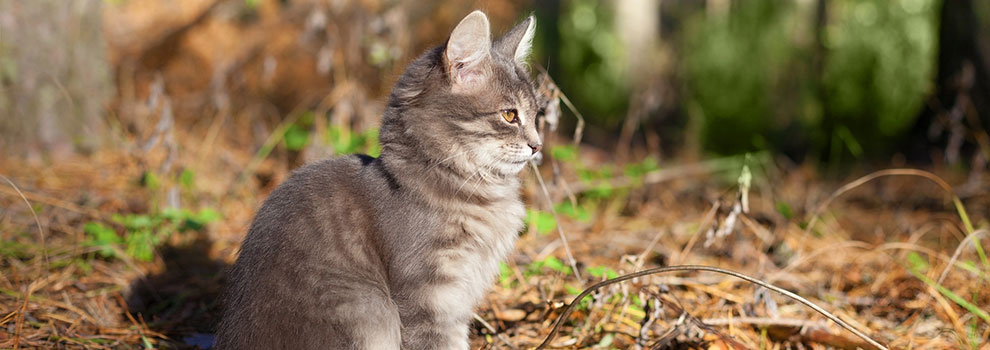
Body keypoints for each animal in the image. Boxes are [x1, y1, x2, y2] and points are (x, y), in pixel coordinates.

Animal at [215, 10, 544, 350]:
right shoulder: (428, 297)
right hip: (369, 306)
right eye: (509, 115)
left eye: (537, 115)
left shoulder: (458, 299)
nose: (537, 145)